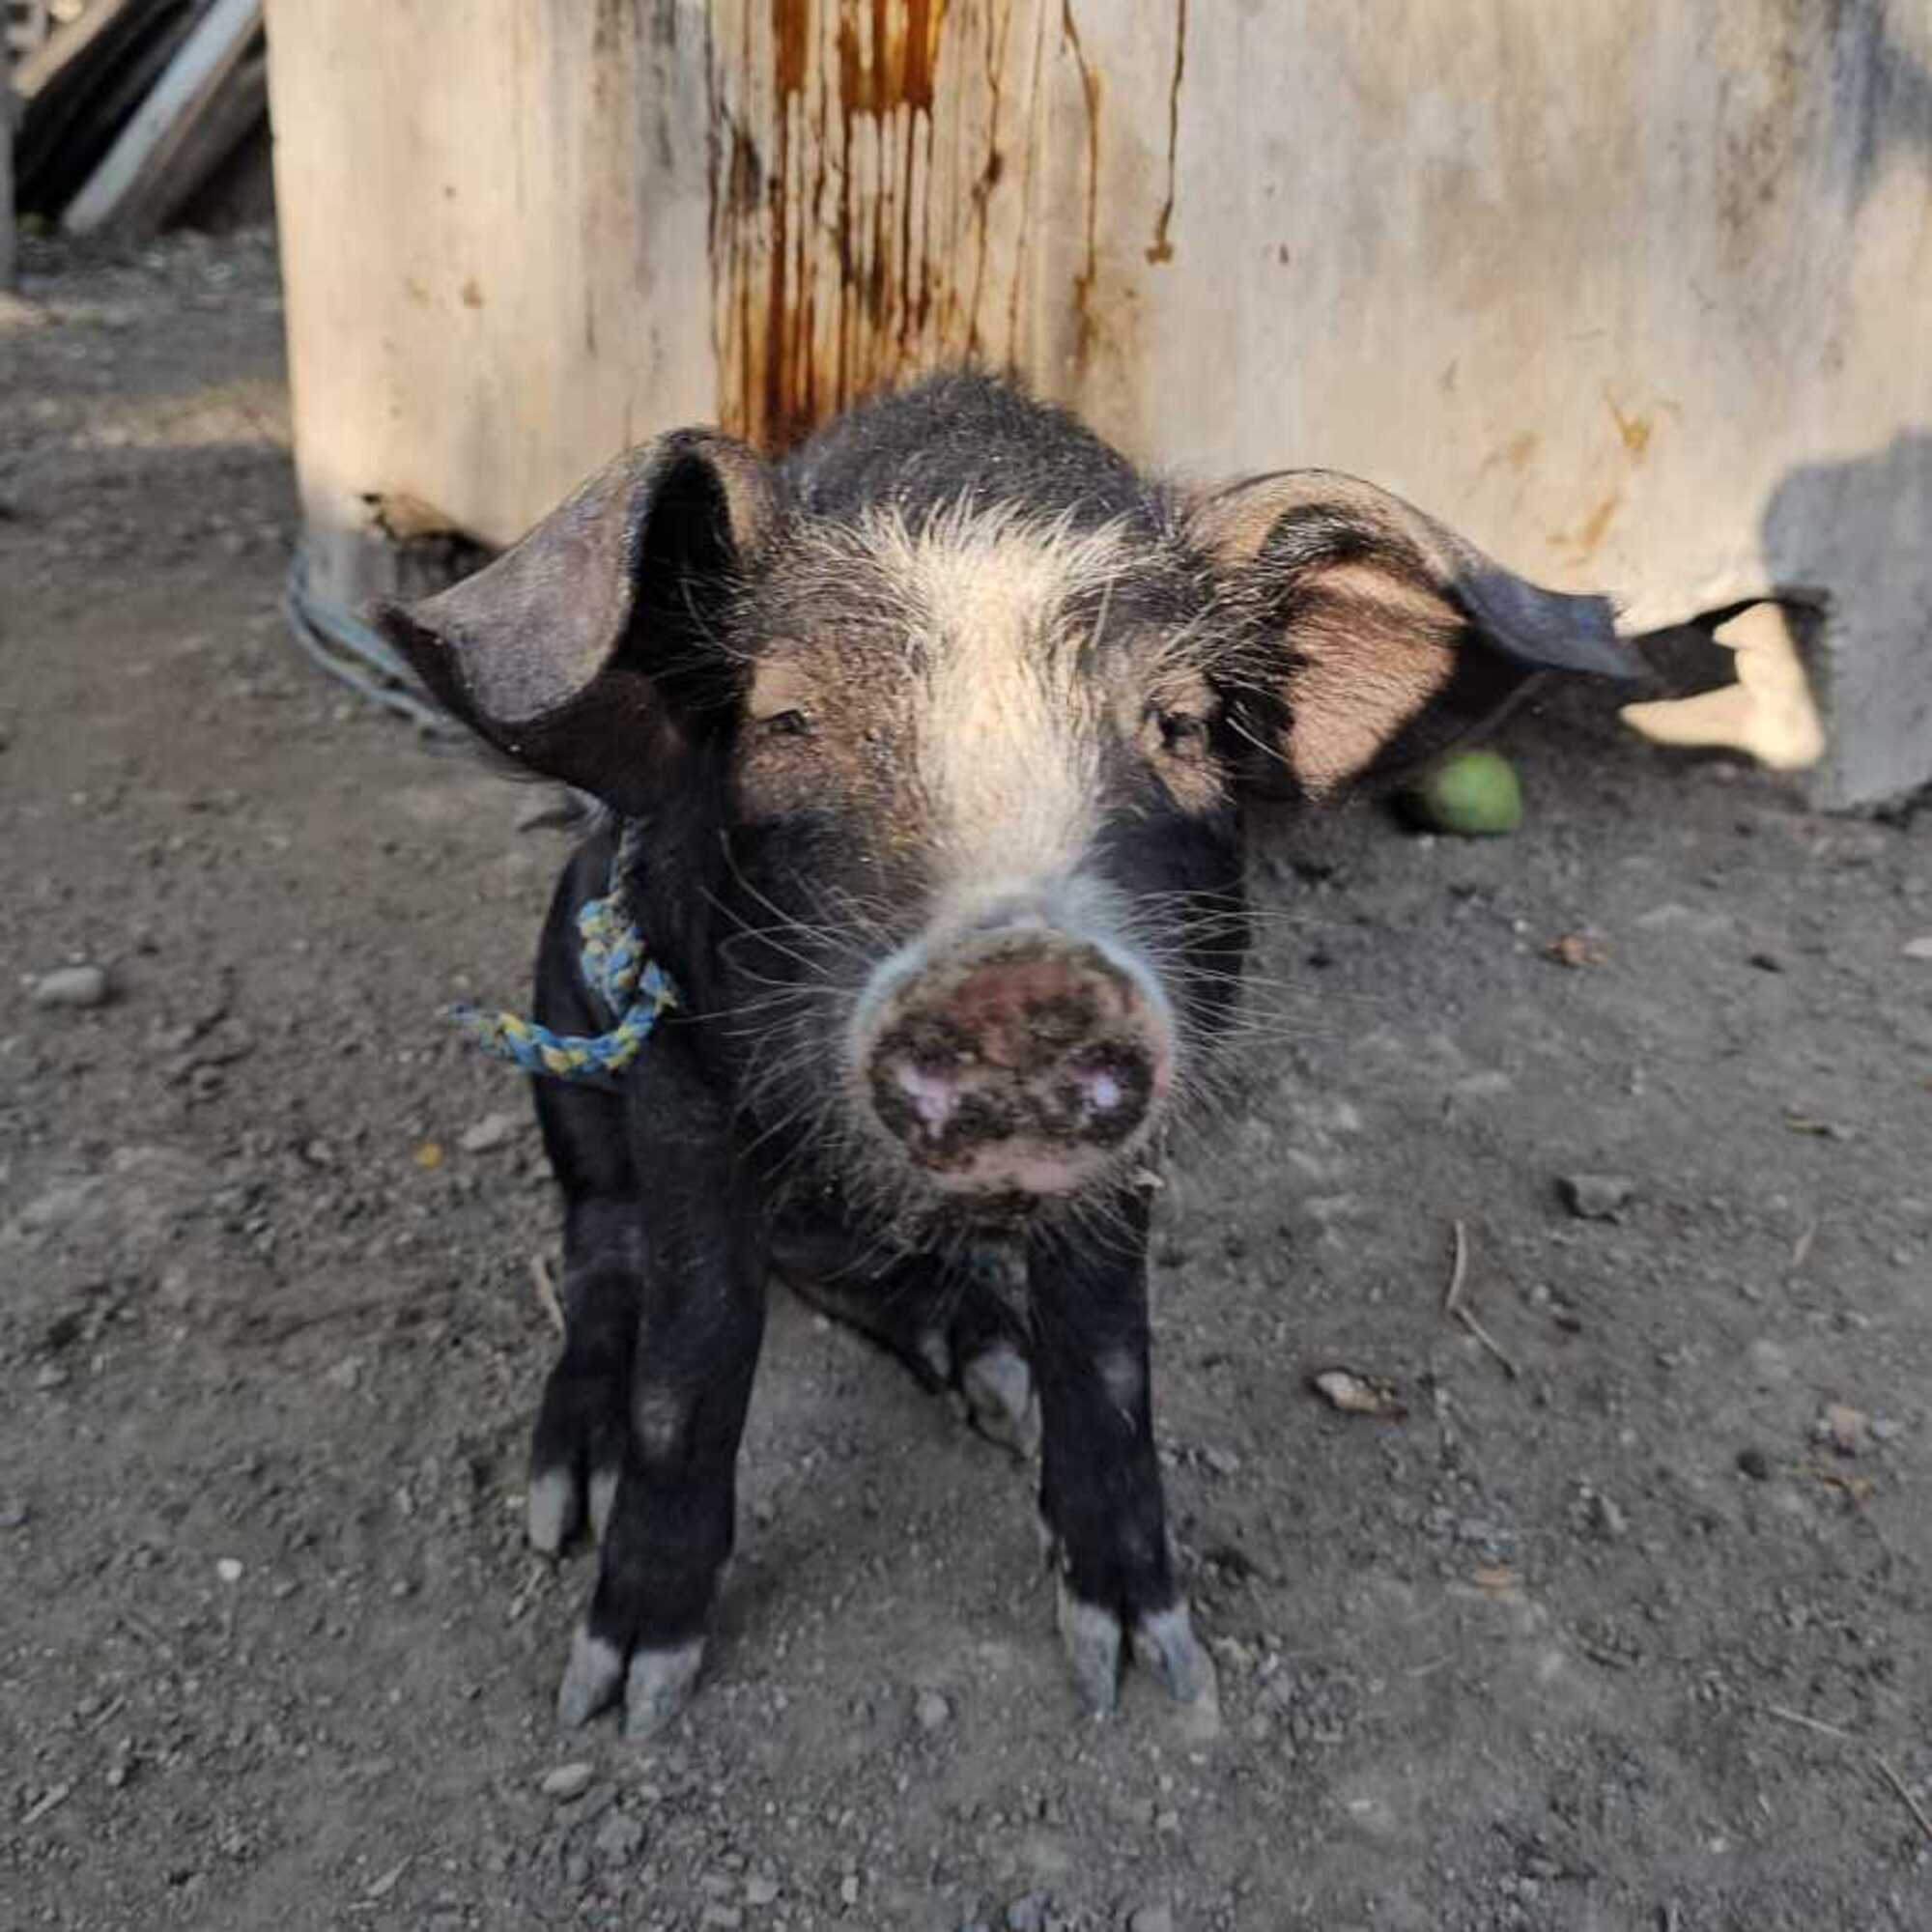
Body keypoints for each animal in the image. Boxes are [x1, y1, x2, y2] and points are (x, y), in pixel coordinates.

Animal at [377, 371, 1631, 1739]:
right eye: (787, 717)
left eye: (1178, 724)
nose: (1020, 976)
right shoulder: (674, 1053)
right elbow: (696, 1348)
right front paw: (619, 1695)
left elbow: (1107, 1341)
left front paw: (1145, 1665)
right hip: (563, 991)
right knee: (605, 1234)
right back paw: (573, 1488)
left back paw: (985, 1361)